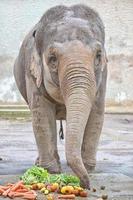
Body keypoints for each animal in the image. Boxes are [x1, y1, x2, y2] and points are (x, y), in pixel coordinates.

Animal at [13, 4, 107, 189]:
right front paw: (51, 171)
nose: (86, 185)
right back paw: (39, 164)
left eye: (99, 56)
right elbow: (41, 115)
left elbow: (96, 114)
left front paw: (88, 169)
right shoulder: (31, 73)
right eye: (52, 59)